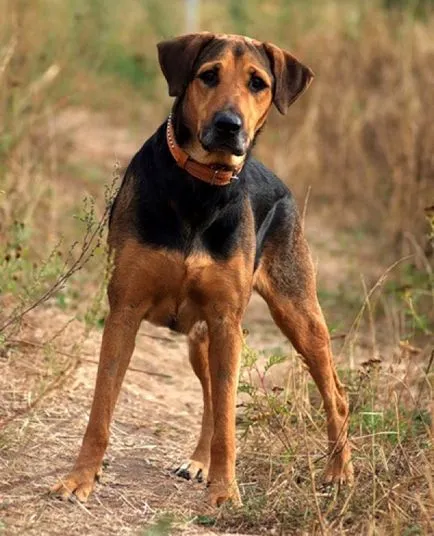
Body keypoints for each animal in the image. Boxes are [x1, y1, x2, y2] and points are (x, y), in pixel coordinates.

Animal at [52, 32, 354, 506]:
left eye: (257, 83)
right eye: (208, 75)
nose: (230, 125)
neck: (200, 188)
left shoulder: (226, 319)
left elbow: (229, 422)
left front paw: (226, 492)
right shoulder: (124, 311)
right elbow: (101, 409)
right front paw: (80, 478)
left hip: (297, 316)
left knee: (335, 396)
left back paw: (340, 474)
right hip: (202, 338)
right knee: (213, 395)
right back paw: (199, 462)